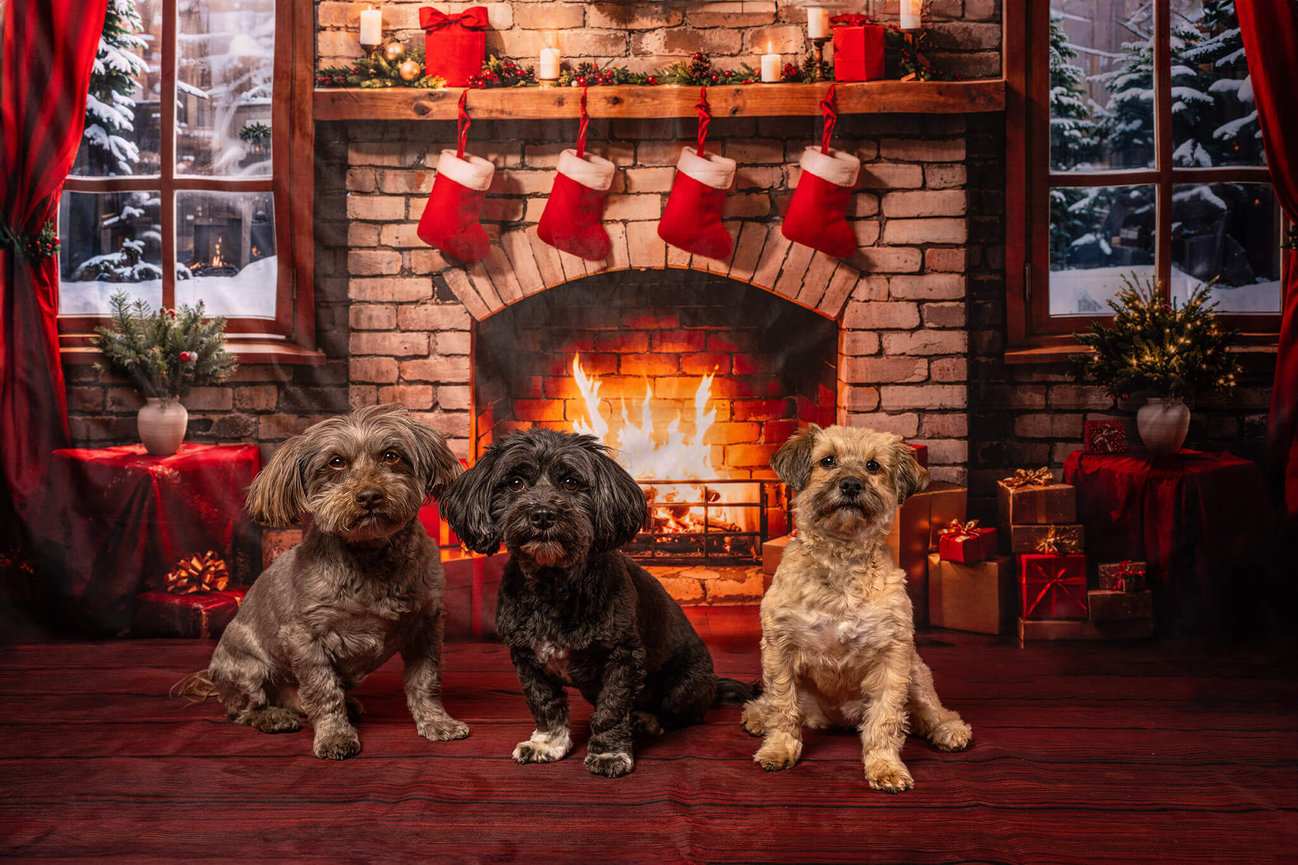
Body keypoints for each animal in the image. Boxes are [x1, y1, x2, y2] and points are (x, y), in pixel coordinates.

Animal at [175, 402, 469, 753]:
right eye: (336, 462)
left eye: (391, 455)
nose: (369, 495)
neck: (371, 558)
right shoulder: (305, 638)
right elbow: (323, 692)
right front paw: (334, 735)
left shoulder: (426, 625)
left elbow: (425, 681)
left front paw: (438, 722)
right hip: (247, 668)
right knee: (243, 710)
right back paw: (271, 716)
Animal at [438, 423, 752, 774]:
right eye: (515, 482)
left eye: (571, 482)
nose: (543, 515)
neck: (552, 587)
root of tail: (713, 684)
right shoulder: (527, 660)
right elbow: (545, 705)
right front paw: (547, 744)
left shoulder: (623, 659)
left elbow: (611, 711)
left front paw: (609, 753)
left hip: (683, 688)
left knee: (678, 715)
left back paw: (647, 720)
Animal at [747, 423, 970, 789]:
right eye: (828, 460)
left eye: (873, 466)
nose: (851, 484)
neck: (841, 558)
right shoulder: (779, 650)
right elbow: (782, 707)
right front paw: (778, 749)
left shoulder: (893, 657)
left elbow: (886, 718)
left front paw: (885, 767)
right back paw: (756, 715)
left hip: (917, 673)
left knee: (933, 710)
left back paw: (948, 730)